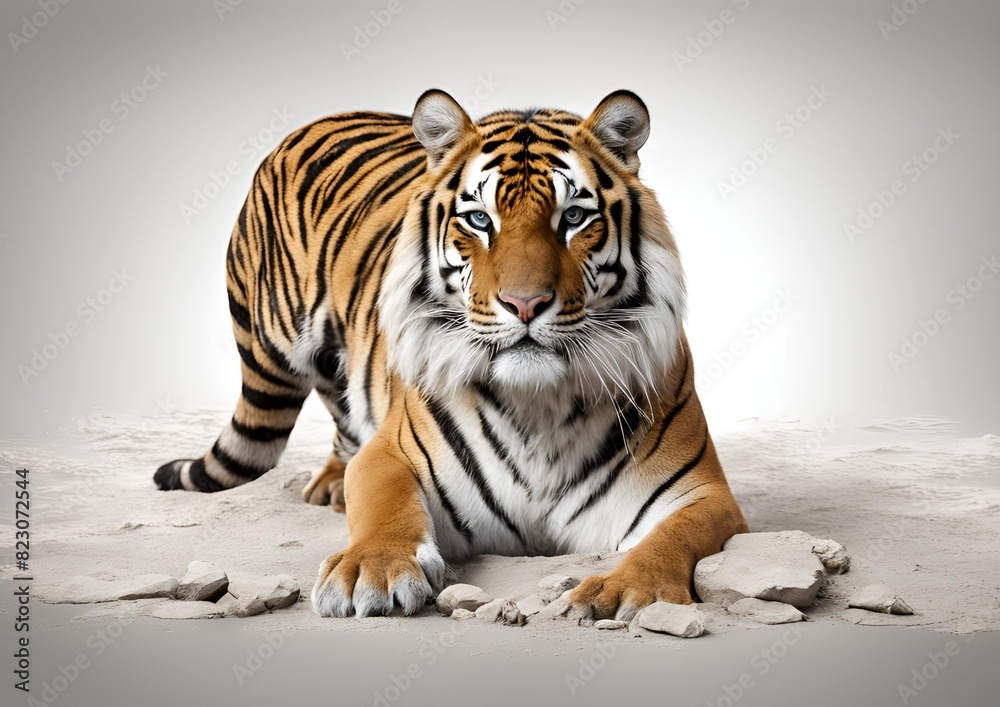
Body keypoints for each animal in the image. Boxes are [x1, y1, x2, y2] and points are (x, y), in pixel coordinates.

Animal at [154, 89, 748, 620]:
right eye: (480, 220)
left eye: (574, 217)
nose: (525, 303)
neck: (539, 403)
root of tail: (320, 118)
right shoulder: (392, 453)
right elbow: (385, 507)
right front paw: (369, 572)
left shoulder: (700, 493)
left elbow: (672, 538)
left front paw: (626, 591)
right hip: (277, 345)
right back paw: (332, 486)